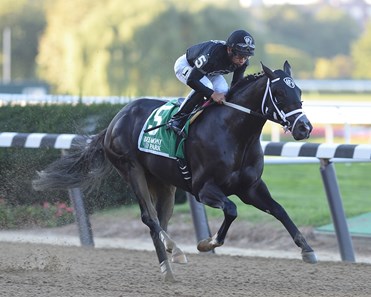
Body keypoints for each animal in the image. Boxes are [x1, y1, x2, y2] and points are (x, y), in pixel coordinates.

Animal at [33, 61, 316, 280]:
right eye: (278, 93)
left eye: (299, 90)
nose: (304, 128)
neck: (234, 132)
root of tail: (114, 121)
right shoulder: (204, 189)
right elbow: (232, 210)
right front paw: (207, 243)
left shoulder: (251, 188)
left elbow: (279, 210)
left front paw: (307, 250)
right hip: (132, 171)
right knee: (150, 219)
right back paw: (169, 263)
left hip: (164, 182)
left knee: (162, 218)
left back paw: (172, 254)